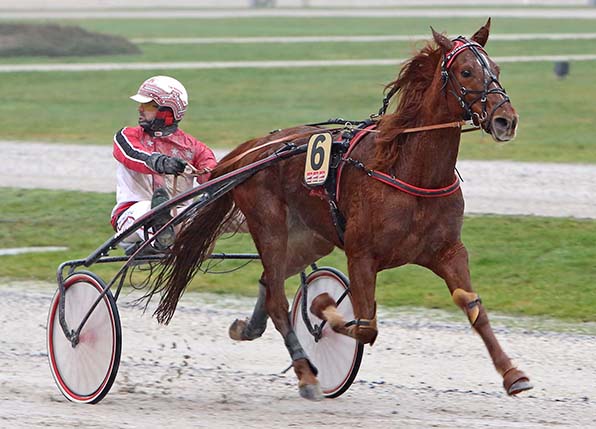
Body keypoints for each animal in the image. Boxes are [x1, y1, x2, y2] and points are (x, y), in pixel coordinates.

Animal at [148, 20, 532, 400]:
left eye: (496, 69)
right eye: (466, 71)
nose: (506, 120)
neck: (409, 169)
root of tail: (257, 147)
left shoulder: (449, 251)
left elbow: (473, 306)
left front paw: (512, 374)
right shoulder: (362, 255)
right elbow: (365, 327)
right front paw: (322, 308)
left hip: (310, 238)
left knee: (270, 283)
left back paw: (250, 328)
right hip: (269, 225)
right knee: (278, 301)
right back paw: (306, 373)